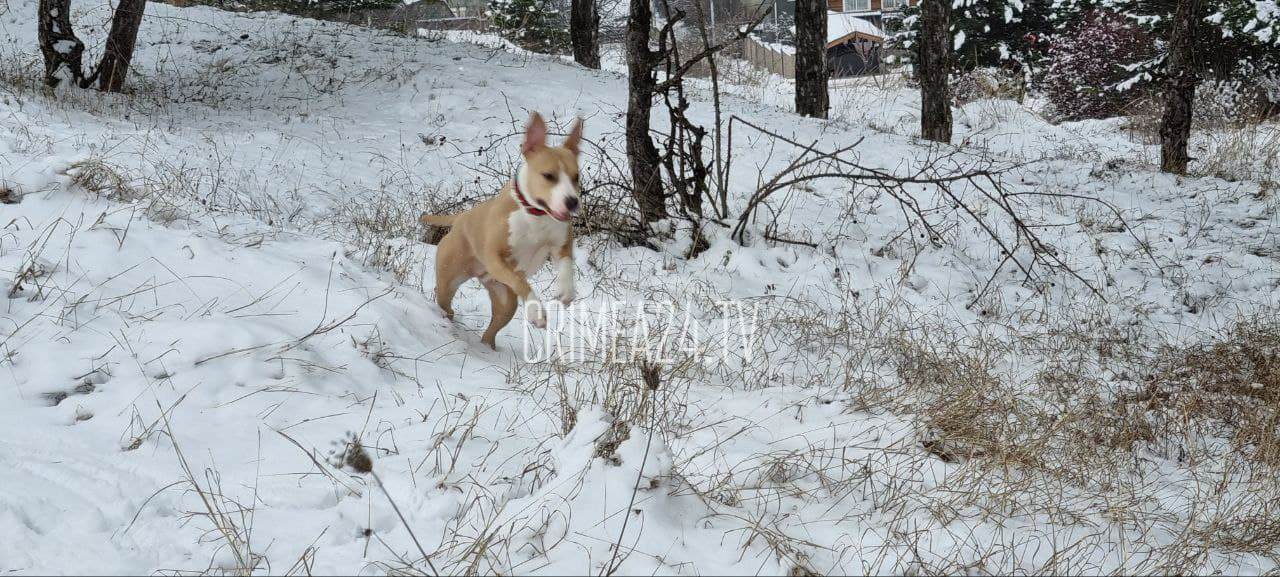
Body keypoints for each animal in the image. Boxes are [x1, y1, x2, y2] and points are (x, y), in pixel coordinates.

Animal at [417, 111, 583, 347]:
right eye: (548, 175)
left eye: (576, 177)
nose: (572, 202)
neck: (535, 213)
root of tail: (461, 218)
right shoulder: (495, 258)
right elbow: (520, 281)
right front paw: (536, 310)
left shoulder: (561, 244)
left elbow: (567, 263)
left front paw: (566, 290)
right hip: (449, 278)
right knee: (445, 303)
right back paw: (447, 323)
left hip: (504, 299)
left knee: (491, 330)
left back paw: (488, 347)